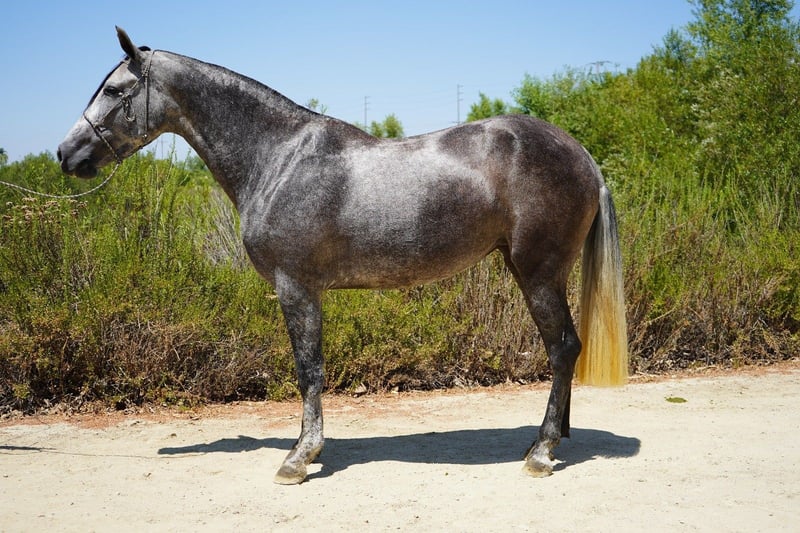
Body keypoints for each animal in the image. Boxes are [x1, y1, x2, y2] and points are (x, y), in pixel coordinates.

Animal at [58, 27, 628, 484]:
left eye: (114, 90)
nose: (67, 153)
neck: (279, 159)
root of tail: (582, 156)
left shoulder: (297, 288)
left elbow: (309, 370)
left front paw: (299, 457)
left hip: (538, 273)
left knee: (563, 349)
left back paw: (542, 452)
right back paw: (549, 439)